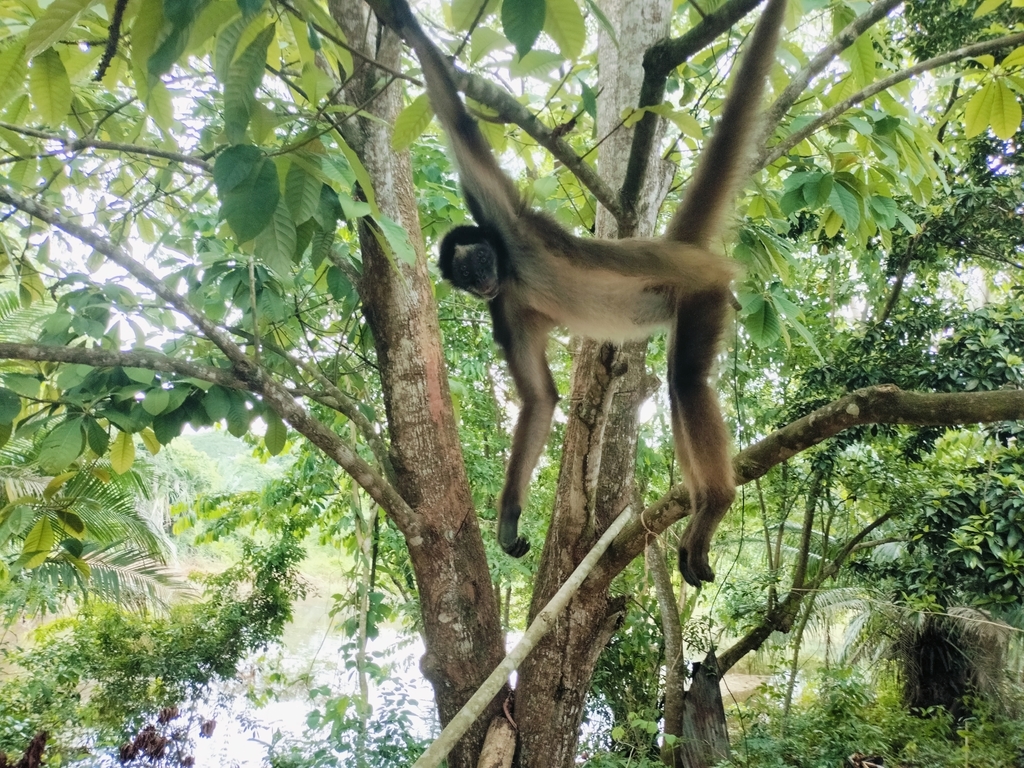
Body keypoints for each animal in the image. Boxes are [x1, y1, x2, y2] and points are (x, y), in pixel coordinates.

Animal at [368, 0, 787, 585]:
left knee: (685, 380)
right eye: (468, 279)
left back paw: (717, 502)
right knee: (680, 383)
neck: (513, 273)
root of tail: (682, 253)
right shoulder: (506, 308)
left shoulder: (507, 224)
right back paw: (703, 505)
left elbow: (459, 122)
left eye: (480, 260)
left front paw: (405, 23)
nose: (482, 280)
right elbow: (541, 398)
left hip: (702, 288)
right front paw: (509, 518)